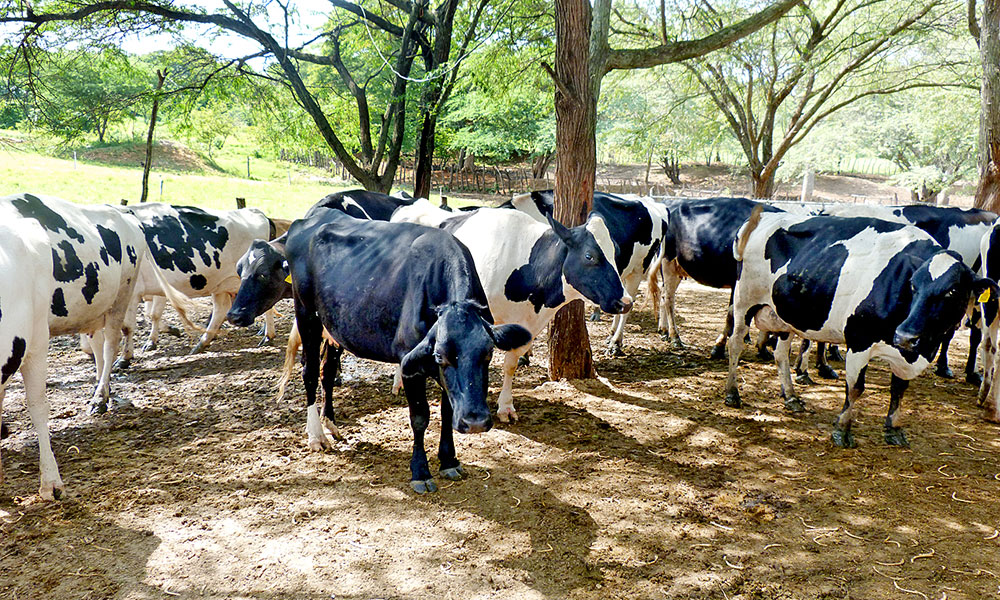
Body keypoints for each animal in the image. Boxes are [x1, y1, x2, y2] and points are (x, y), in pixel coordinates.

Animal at [119, 204, 280, 358]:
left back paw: (267, 336)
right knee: (220, 310)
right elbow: (149, 314)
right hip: (221, 283)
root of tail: (254, 211)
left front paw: (127, 356)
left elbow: (143, 318)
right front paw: (163, 334)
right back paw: (203, 343)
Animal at [284, 209, 532, 494]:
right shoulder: (410, 365)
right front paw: (420, 472)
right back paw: (316, 435)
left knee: (327, 372)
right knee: (310, 372)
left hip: (334, 328)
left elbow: (447, 411)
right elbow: (420, 417)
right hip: (306, 315)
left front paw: (449, 461)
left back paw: (331, 424)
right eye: (439, 355)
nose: (476, 422)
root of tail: (314, 215)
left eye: (489, 353)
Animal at [392, 204, 632, 420]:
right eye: (589, 256)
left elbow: (510, 365)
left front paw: (506, 407)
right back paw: (400, 380)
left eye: (616, 252)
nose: (626, 302)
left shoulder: (525, 327)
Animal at [728, 205, 992, 446]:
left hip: (784, 316)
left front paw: (893, 428)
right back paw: (732, 393)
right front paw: (842, 430)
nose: (905, 336)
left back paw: (791, 397)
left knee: (781, 354)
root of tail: (764, 216)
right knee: (736, 344)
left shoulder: (906, 354)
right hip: (744, 300)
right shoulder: (859, 340)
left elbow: (899, 389)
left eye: (953, 291)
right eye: (913, 285)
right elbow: (856, 388)